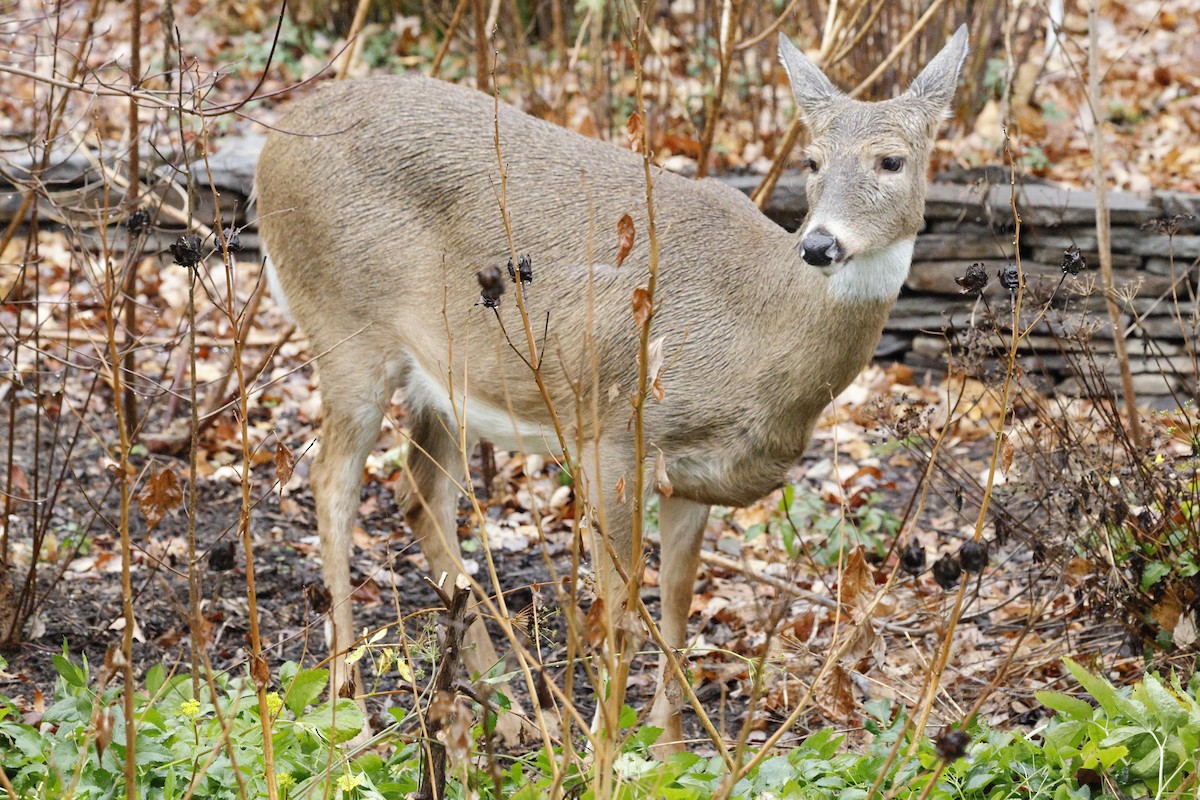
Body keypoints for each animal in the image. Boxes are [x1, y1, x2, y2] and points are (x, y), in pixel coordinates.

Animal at [254, 25, 968, 754]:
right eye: (812, 160)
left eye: (892, 161)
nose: (820, 245)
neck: (761, 330)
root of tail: (270, 150)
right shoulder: (615, 431)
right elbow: (621, 612)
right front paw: (605, 746)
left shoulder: (692, 476)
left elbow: (676, 607)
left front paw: (669, 749)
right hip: (346, 333)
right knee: (333, 484)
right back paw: (349, 709)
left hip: (445, 378)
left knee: (420, 495)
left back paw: (510, 713)